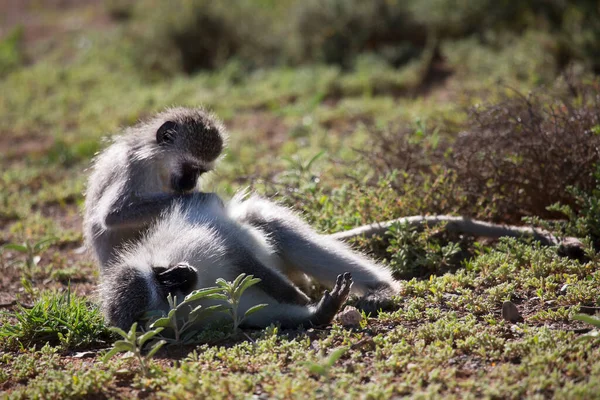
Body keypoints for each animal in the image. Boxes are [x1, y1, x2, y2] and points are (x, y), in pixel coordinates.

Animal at [84, 108, 400, 330]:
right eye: (165, 289)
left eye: (199, 170)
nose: (181, 274)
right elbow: (113, 214)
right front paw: (315, 309)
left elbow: (232, 247)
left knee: (269, 226)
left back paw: (379, 288)